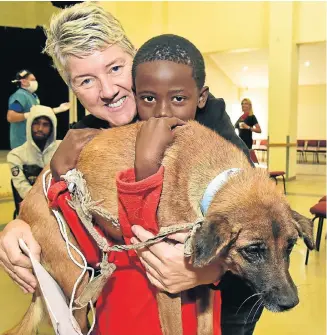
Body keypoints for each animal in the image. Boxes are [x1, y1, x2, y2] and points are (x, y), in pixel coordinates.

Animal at [3, 121, 316, 335]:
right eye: (252, 250)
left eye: (291, 246)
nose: (290, 302)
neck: (214, 183)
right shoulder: (166, 286)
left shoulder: (201, 283)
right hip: (76, 291)